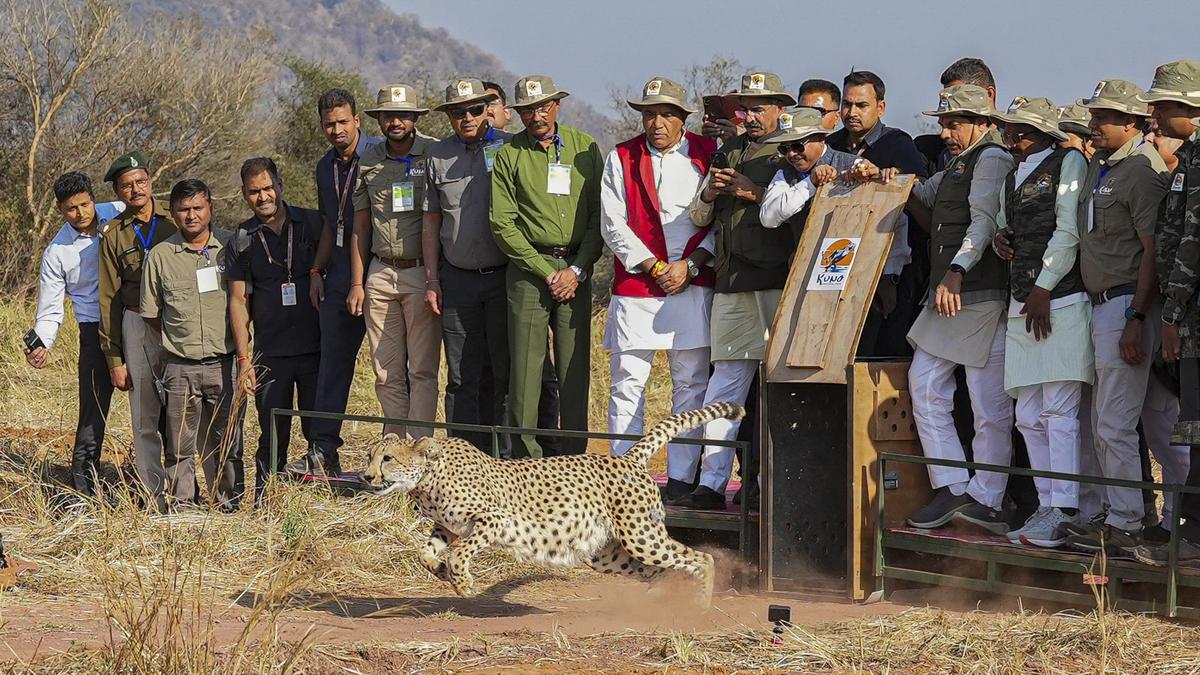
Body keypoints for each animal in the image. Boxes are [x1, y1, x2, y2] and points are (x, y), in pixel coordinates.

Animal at [360, 398, 744, 605]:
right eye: (369, 456)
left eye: (387, 459)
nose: (366, 476)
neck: (427, 477)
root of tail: (627, 457)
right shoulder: (447, 526)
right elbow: (424, 552)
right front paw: (441, 572)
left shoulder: (493, 519)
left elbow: (459, 552)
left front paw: (463, 583)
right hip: (607, 553)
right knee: (661, 569)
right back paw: (663, 599)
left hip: (640, 535)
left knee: (701, 558)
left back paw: (699, 606)